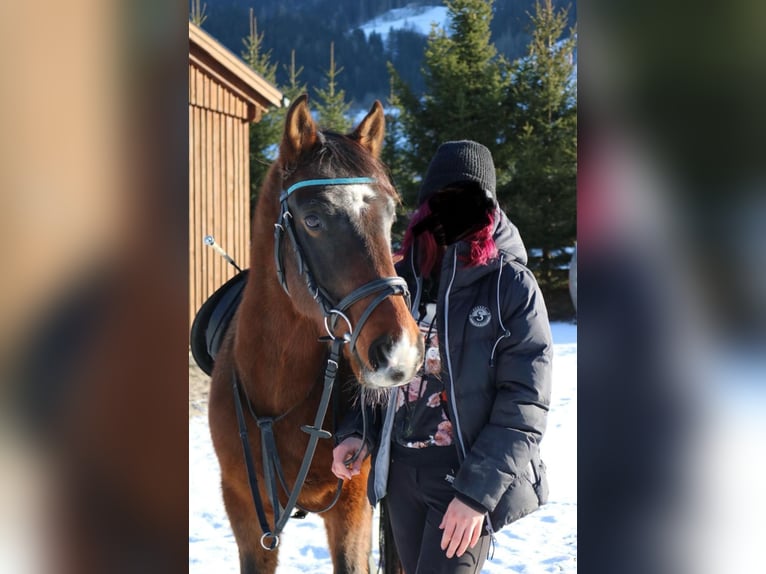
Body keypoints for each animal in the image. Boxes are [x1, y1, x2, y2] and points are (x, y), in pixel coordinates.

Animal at [208, 94, 423, 574]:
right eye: (312, 220)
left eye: (390, 216)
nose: (399, 354)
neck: (278, 389)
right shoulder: (245, 511)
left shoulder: (353, 508)